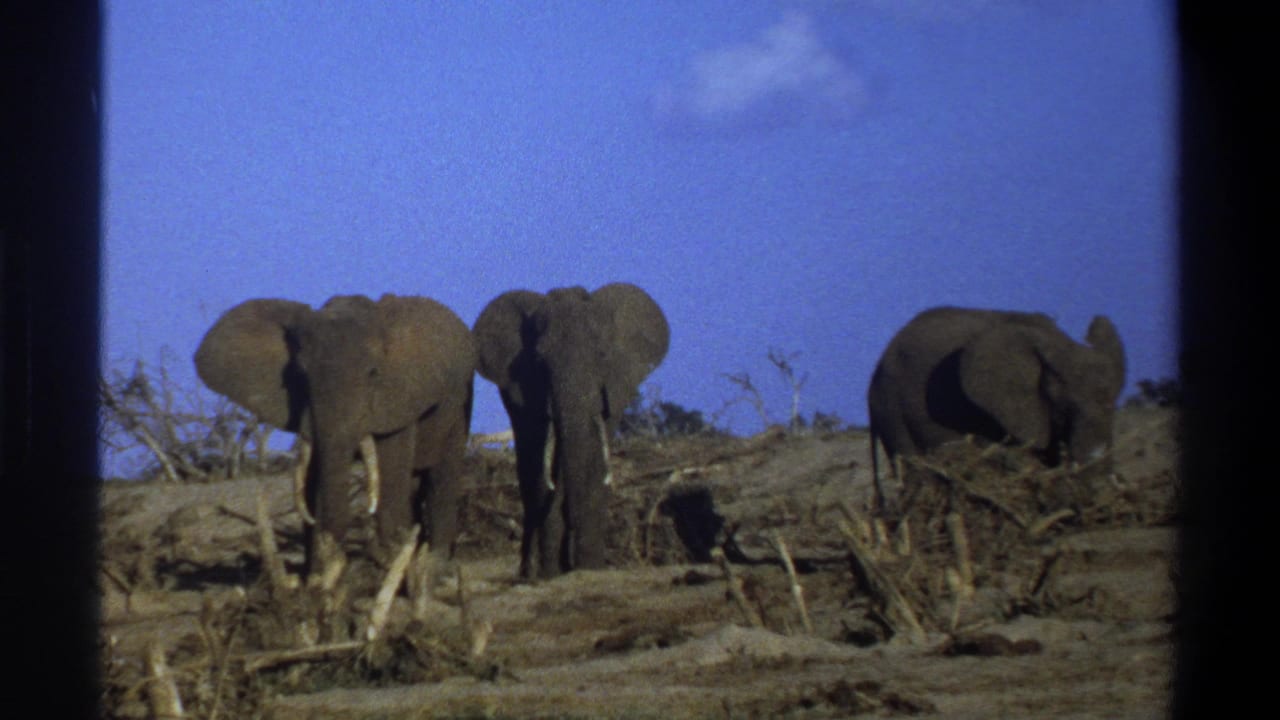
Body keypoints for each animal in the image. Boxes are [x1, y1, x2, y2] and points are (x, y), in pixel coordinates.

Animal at [194, 294, 476, 577]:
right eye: (300, 374)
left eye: (373, 373)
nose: (335, 553)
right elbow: (315, 474)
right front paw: (315, 577)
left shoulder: (398, 400)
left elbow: (390, 470)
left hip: (460, 404)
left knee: (442, 477)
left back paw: (436, 564)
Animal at [472, 283, 670, 579]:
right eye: (540, 361)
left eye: (602, 356)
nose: (571, 560)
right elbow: (538, 459)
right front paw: (549, 573)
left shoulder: (616, 384)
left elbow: (596, 455)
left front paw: (591, 568)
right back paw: (530, 572)